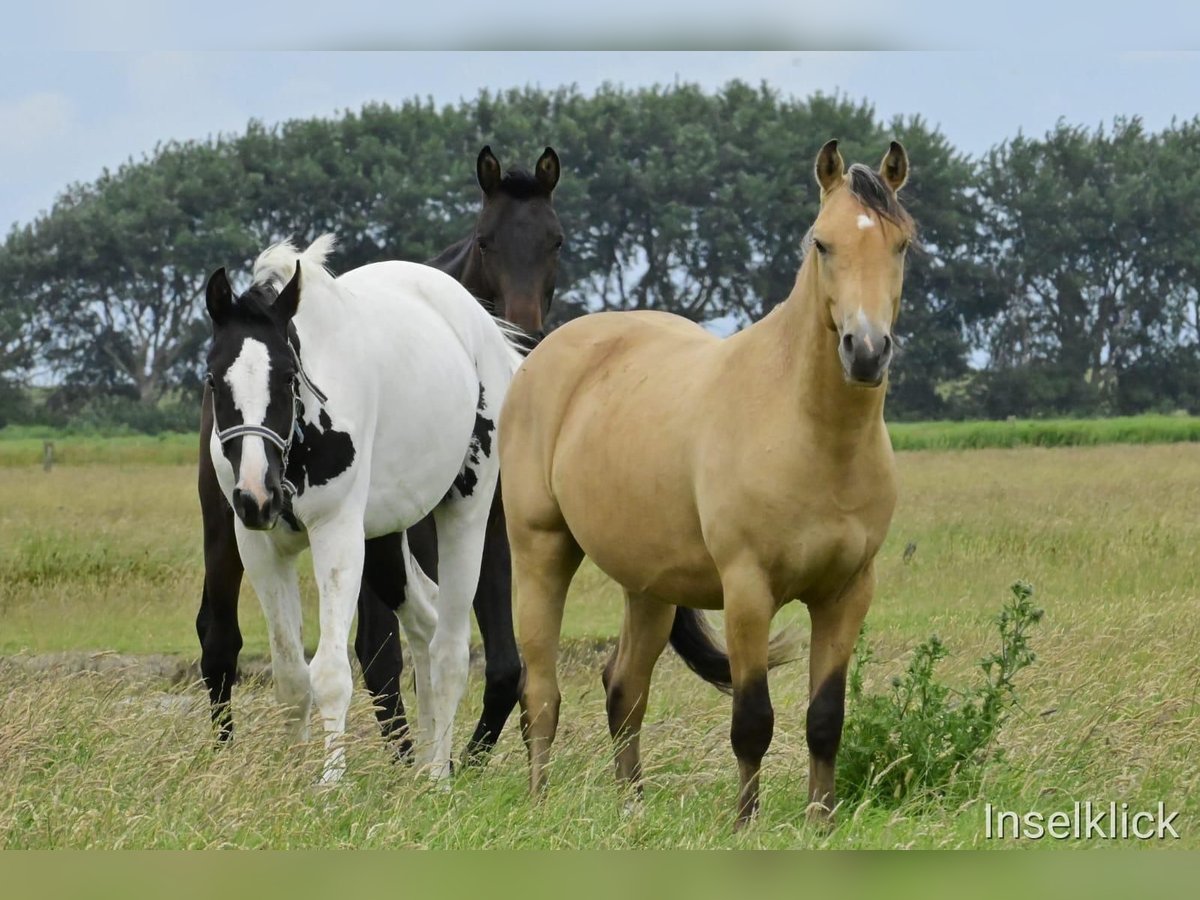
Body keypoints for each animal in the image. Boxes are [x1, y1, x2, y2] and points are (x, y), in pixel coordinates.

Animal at [198, 146, 566, 763]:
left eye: (288, 376)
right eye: (212, 377)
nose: (256, 494)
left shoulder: (337, 533)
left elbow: (331, 673)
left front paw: (330, 779)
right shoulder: (260, 544)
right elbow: (291, 675)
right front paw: (290, 772)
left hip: (465, 516)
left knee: (448, 648)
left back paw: (438, 772)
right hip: (384, 536)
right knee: (420, 621)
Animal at [501, 139, 912, 825]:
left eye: (902, 244)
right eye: (822, 243)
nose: (866, 351)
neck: (811, 435)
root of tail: (541, 356)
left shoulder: (848, 593)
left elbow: (825, 719)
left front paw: (820, 821)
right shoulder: (748, 590)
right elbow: (752, 721)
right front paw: (745, 823)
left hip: (649, 587)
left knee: (624, 689)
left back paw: (632, 809)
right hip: (540, 551)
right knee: (542, 693)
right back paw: (536, 803)